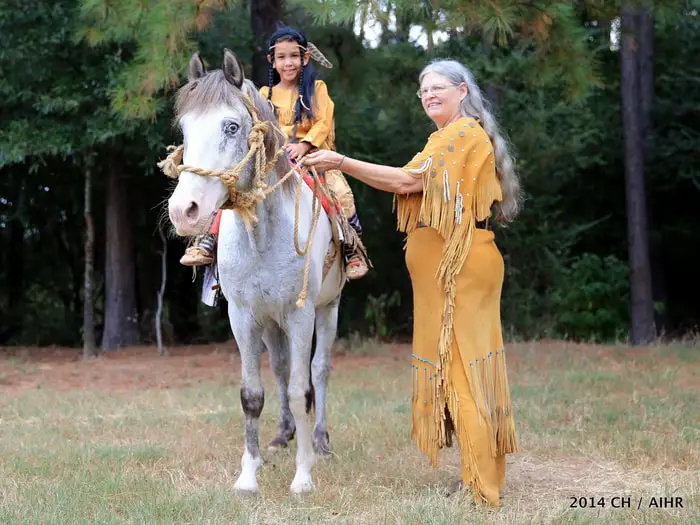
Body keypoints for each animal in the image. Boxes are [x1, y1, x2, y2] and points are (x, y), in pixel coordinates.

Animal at [164, 47, 344, 494]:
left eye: (231, 126)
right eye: (185, 129)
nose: (183, 211)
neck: (262, 235)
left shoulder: (300, 314)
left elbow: (301, 389)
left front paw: (303, 476)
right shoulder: (244, 316)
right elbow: (252, 394)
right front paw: (249, 474)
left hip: (327, 309)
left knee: (320, 371)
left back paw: (320, 441)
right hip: (271, 323)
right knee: (279, 370)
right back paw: (281, 437)